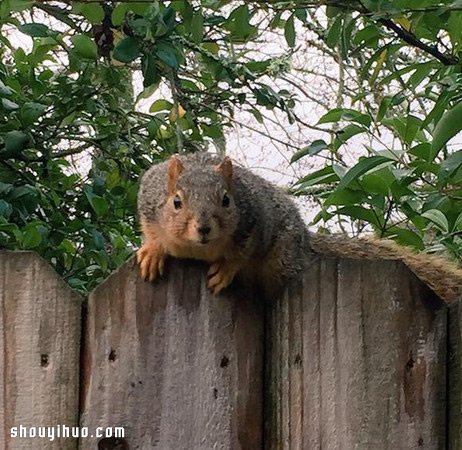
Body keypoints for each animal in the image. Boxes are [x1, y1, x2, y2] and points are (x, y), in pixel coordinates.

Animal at [137, 151, 462, 302]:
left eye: (227, 200)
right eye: (176, 202)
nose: (204, 228)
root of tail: (306, 240)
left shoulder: (256, 223)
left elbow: (240, 254)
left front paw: (225, 271)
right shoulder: (148, 204)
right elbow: (152, 232)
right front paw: (153, 252)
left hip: (282, 260)